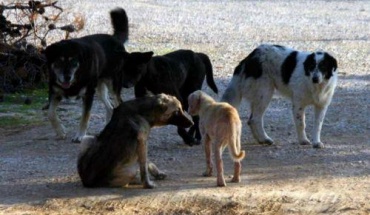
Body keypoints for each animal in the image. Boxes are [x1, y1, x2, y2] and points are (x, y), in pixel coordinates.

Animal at [43, 7, 153, 143]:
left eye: (74, 62)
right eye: (59, 61)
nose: (67, 77)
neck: (76, 78)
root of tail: (115, 39)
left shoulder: (88, 94)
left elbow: (85, 117)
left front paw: (80, 135)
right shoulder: (55, 92)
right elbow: (50, 113)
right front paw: (60, 131)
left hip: (113, 85)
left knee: (118, 103)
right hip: (100, 88)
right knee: (110, 108)